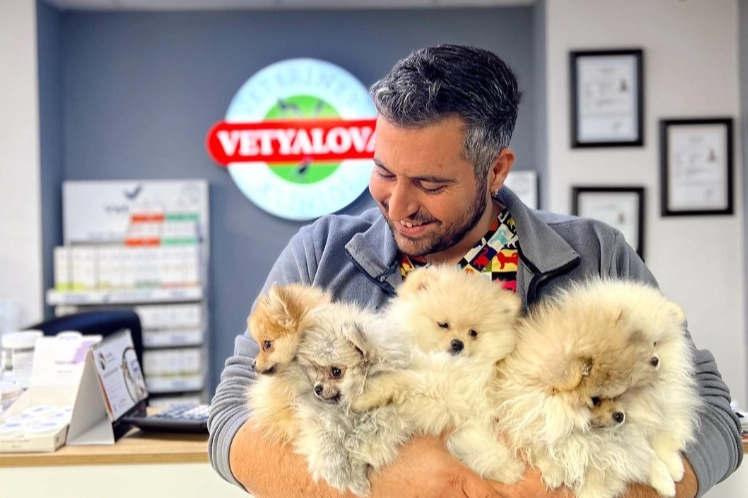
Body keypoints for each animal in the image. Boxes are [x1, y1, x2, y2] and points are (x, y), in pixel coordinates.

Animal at [291, 301, 413, 496]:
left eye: (336, 372)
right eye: (316, 369)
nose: (317, 388)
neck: (347, 409)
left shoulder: (387, 420)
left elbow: (359, 444)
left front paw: (357, 480)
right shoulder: (322, 417)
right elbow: (326, 438)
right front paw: (336, 470)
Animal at [350, 265, 525, 484]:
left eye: (473, 333)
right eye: (443, 324)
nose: (458, 343)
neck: (446, 364)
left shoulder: (460, 404)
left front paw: (505, 468)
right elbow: (401, 380)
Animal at [495, 278, 700, 498]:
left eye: (655, 343)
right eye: (596, 400)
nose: (620, 416)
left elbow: (660, 441)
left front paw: (670, 472)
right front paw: (554, 471)